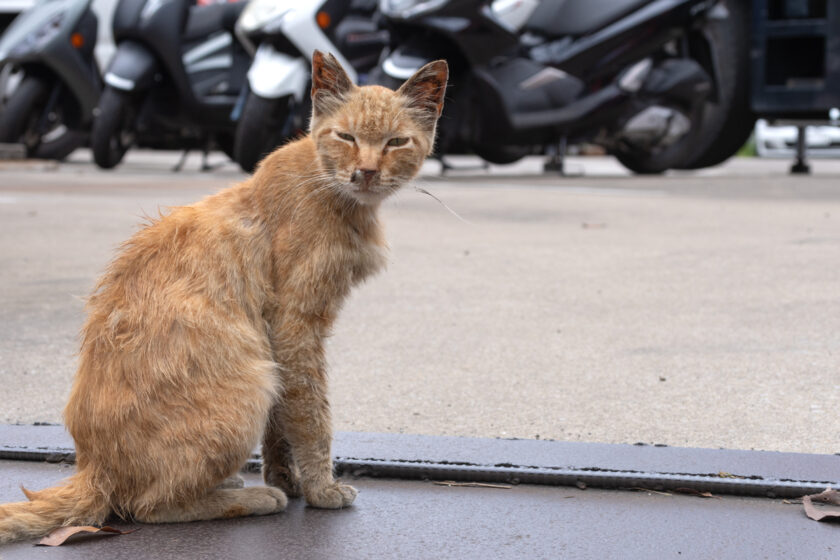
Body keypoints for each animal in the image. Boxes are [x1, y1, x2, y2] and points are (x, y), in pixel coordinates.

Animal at [0, 52, 450, 544]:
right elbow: (312, 414)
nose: (365, 172)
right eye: (346, 137)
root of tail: (94, 468)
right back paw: (252, 498)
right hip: (250, 386)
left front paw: (286, 479)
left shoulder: (281, 342)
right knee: (147, 508)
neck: (327, 186)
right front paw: (320, 489)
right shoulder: (296, 328)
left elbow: (282, 424)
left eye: (396, 141)